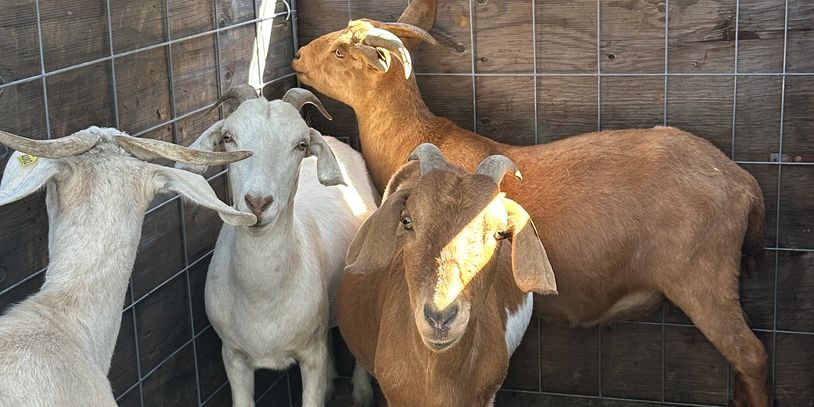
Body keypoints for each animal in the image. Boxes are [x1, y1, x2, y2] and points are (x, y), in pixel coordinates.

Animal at [177, 86, 377, 407]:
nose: (257, 203)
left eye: (300, 144)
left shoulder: (311, 357)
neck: (261, 297)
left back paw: (360, 393)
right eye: (228, 138)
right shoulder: (233, 356)